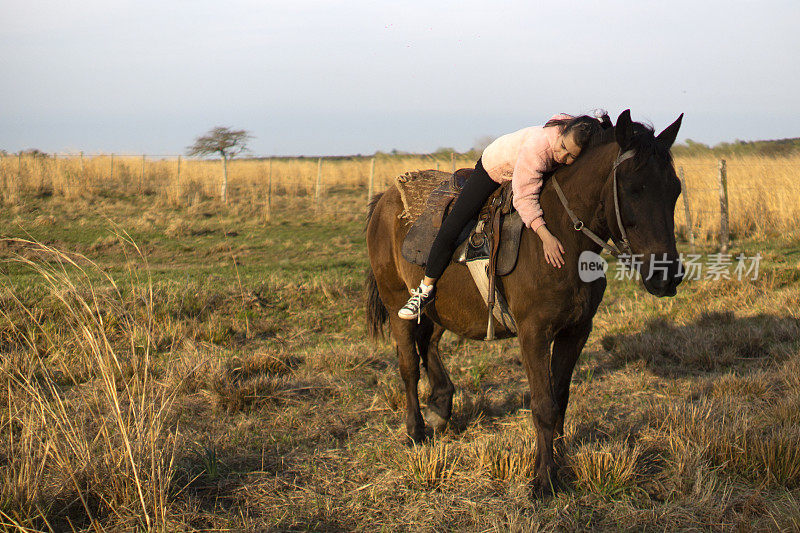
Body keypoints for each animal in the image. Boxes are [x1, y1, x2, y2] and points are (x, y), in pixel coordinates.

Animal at [366, 110, 684, 492]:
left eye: (675, 190)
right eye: (633, 189)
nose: (667, 276)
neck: (561, 238)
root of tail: (385, 197)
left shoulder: (576, 331)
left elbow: (560, 399)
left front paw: (559, 460)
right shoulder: (534, 333)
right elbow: (544, 406)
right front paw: (544, 479)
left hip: (442, 308)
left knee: (429, 344)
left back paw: (441, 407)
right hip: (396, 300)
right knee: (408, 364)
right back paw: (415, 431)